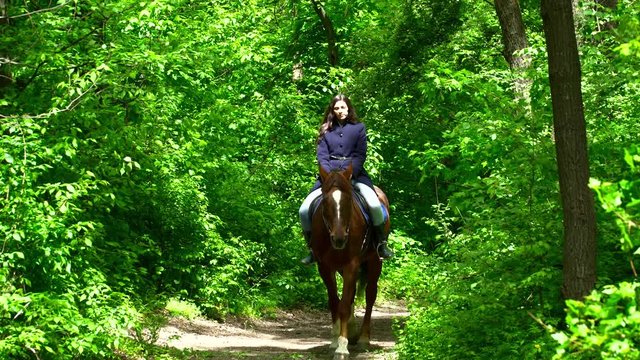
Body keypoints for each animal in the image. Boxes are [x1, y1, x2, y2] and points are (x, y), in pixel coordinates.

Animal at [310, 165, 390, 358]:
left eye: (348, 200)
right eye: (326, 201)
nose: (339, 238)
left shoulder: (351, 265)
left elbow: (344, 305)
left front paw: (341, 347)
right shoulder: (325, 267)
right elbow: (334, 302)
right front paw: (334, 340)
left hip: (374, 262)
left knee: (370, 296)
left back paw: (363, 339)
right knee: (352, 293)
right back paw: (353, 332)